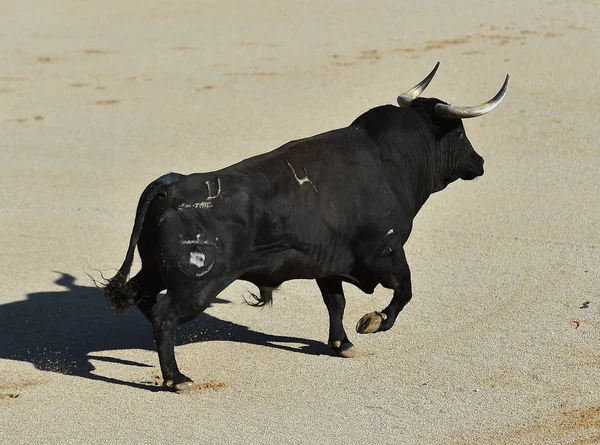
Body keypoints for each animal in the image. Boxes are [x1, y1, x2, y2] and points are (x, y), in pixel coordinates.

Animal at [102, 64, 506, 390]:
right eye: (458, 132)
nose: (480, 163)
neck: (391, 161)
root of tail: (170, 184)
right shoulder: (387, 252)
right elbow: (404, 291)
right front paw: (372, 322)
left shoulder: (329, 262)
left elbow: (336, 302)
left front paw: (342, 344)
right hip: (197, 284)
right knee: (165, 316)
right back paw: (177, 378)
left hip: (156, 269)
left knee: (143, 297)